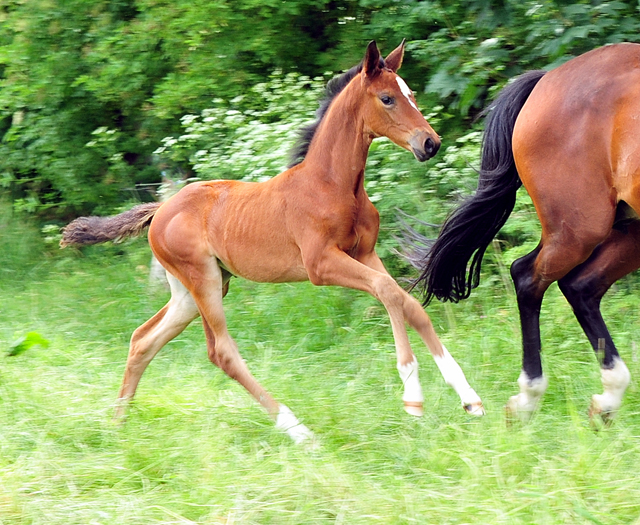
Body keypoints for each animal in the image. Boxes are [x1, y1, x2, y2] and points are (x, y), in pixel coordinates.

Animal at [61, 41, 484, 442]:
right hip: (203, 281)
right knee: (222, 352)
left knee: (143, 340)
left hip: (194, 289)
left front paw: (469, 398)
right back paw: (299, 432)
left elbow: (407, 302)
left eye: (411, 94)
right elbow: (387, 291)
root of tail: (161, 208)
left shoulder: (364, 253)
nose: (430, 143)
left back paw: (118, 426)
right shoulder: (320, 264)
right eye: (387, 98)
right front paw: (413, 397)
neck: (332, 185)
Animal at [410, 43, 640, 424]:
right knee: (529, 277)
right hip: (577, 229)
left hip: (625, 230)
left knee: (580, 286)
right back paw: (529, 397)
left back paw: (606, 398)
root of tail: (548, 79)